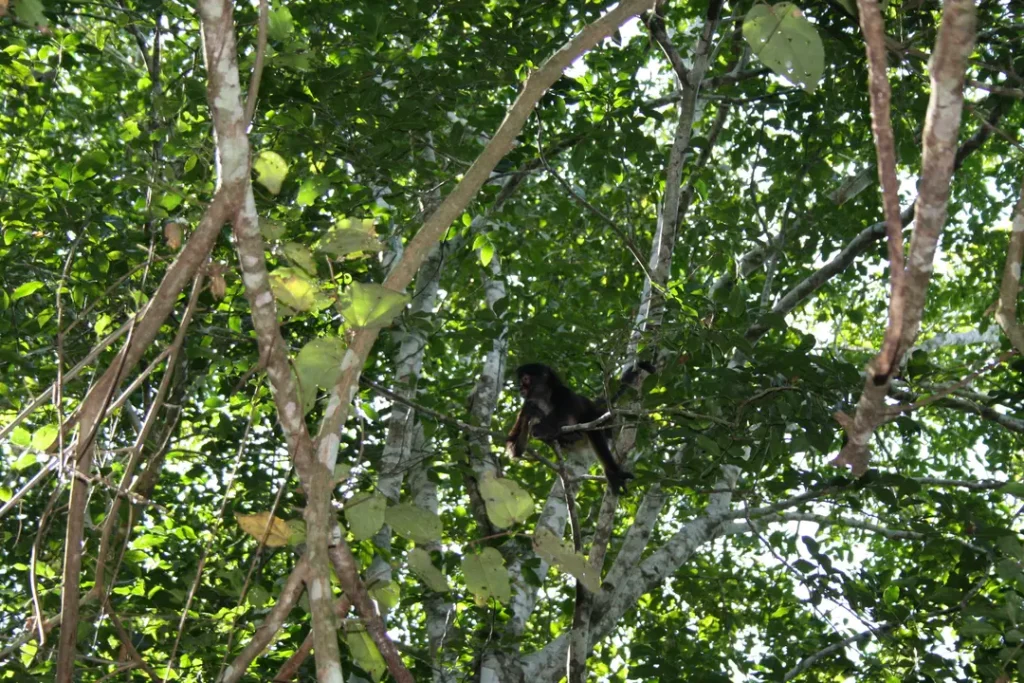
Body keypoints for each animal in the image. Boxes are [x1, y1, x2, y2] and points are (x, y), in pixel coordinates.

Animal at [504, 362, 653, 495]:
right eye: (520, 380)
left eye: (525, 379)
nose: (519, 387)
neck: (543, 399)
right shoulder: (527, 404)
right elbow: (515, 448)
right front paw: (533, 415)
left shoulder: (563, 393)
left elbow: (560, 424)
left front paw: (542, 427)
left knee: (590, 425)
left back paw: (613, 473)